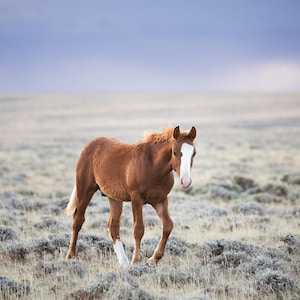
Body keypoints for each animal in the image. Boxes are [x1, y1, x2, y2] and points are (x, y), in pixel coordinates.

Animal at [65, 125, 197, 266]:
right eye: (174, 152)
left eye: (194, 153)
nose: (186, 181)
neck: (153, 166)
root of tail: (90, 145)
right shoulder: (136, 199)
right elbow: (138, 229)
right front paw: (136, 261)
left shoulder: (160, 200)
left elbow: (168, 225)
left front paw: (153, 258)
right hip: (85, 191)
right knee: (78, 220)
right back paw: (70, 255)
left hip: (114, 198)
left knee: (113, 225)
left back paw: (123, 262)